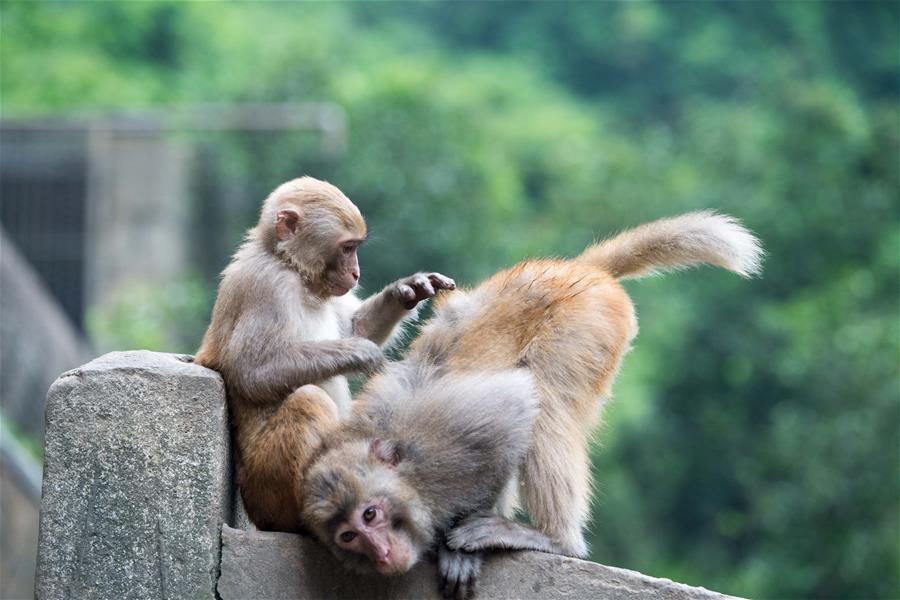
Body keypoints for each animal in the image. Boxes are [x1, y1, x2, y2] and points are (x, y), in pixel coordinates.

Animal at [193, 176, 454, 532]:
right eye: (347, 248)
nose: (356, 273)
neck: (289, 267)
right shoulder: (266, 285)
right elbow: (253, 373)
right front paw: (363, 354)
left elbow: (354, 327)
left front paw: (408, 290)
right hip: (266, 489)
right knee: (308, 400)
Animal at [298, 210, 764, 596]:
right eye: (348, 536)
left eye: (370, 516)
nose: (379, 552)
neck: (410, 469)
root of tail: (577, 269)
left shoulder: (451, 436)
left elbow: (517, 404)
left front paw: (461, 548)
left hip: (586, 323)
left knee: (547, 399)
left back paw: (554, 539)